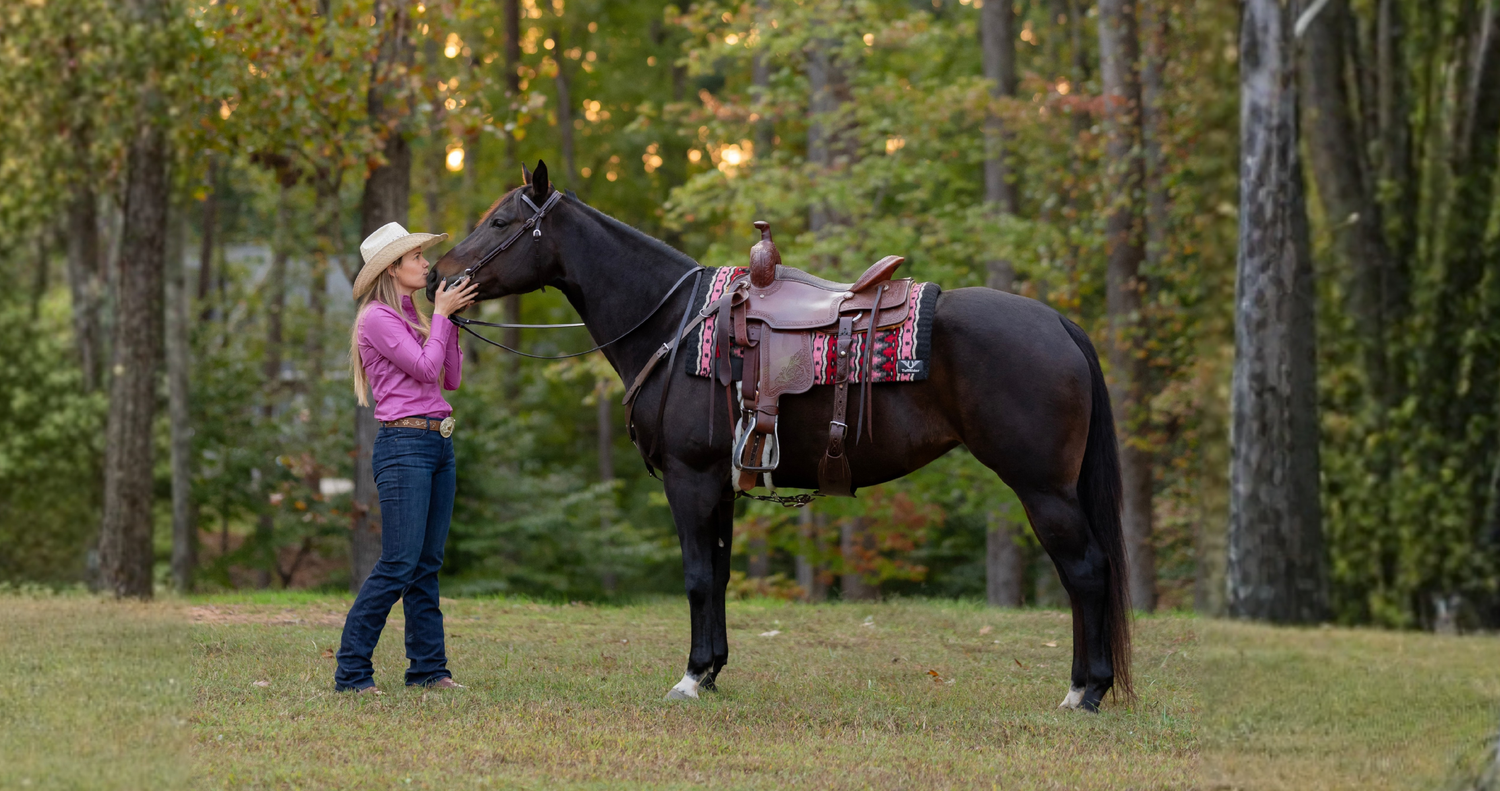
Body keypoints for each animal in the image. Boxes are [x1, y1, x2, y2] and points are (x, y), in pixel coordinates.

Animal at [429, 161, 1133, 711]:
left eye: (500, 223)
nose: (439, 276)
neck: (676, 323)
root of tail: (1058, 324)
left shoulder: (689, 480)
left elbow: (696, 576)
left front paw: (690, 678)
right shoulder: (718, 484)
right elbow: (718, 575)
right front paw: (712, 671)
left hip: (1042, 488)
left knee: (1085, 571)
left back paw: (1085, 691)